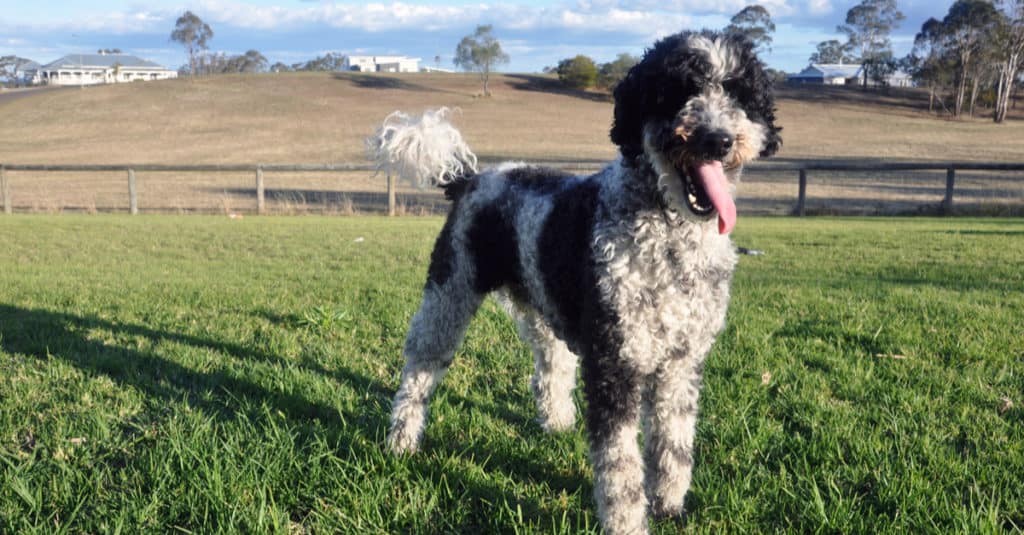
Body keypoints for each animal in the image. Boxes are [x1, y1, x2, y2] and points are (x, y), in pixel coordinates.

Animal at [372, 29, 778, 532]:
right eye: (679, 90)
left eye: (739, 93)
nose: (718, 139)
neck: (668, 239)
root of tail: (471, 178)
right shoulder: (615, 363)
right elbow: (620, 465)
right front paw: (628, 522)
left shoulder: (680, 365)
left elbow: (674, 445)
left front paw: (669, 506)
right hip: (449, 293)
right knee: (420, 369)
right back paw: (402, 441)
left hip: (538, 304)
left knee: (550, 365)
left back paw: (557, 423)